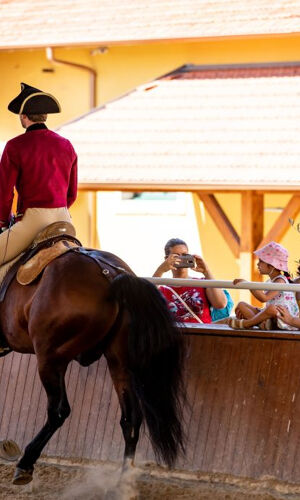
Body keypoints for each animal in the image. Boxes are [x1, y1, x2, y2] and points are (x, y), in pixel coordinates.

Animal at [0, 249, 185, 484]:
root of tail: (111, 275)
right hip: (119, 363)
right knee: (131, 419)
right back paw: (121, 482)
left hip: (50, 358)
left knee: (58, 411)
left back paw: (25, 463)